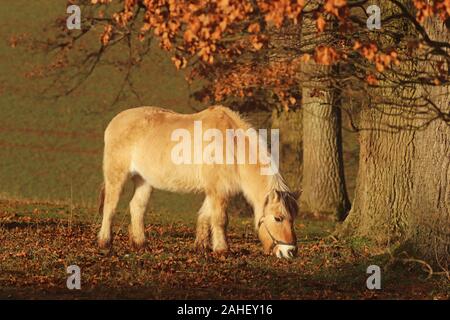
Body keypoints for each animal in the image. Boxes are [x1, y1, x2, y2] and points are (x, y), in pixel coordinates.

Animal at [98, 106, 298, 258]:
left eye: (292, 218)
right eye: (278, 218)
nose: (290, 252)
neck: (231, 145)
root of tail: (114, 122)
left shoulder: (213, 190)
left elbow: (204, 215)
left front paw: (200, 247)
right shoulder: (218, 191)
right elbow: (220, 219)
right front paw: (222, 250)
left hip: (144, 180)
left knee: (137, 207)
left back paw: (141, 244)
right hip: (116, 176)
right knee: (110, 206)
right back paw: (105, 242)